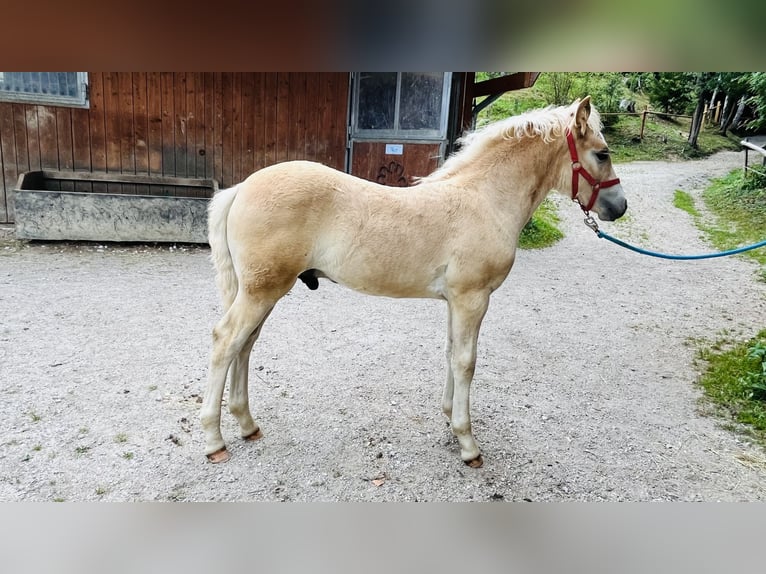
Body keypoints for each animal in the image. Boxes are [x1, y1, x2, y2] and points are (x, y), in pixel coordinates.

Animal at [201, 96, 627, 467]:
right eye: (602, 153)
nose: (619, 207)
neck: (484, 200)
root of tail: (240, 188)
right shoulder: (473, 299)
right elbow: (466, 361)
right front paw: (468, 443)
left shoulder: (456, 301)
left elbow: (451, 353)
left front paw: (449, 420)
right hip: (261, 291)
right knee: (225, 341)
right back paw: (214, 440)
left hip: (261, 292)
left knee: (245, 345)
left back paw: (247, 425)